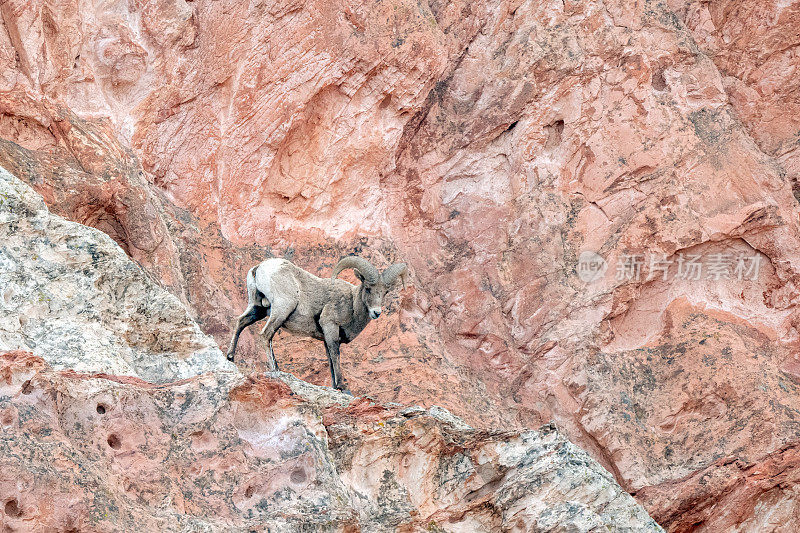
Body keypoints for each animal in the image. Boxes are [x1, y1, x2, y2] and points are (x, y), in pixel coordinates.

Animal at [228, 256, 410, 388]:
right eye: (367, 288)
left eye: (385, 292)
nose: (376, 312)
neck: (352, 305)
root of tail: (259, 268)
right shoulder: (331, 328)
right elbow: (335, 355)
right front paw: (342, 387)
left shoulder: (326, 339)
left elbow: (330, 360)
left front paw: (335, 386)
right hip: (282, 309)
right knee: (266, 335)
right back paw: (276, 369)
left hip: (257, 308)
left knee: (240, 322)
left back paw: (230, 357)